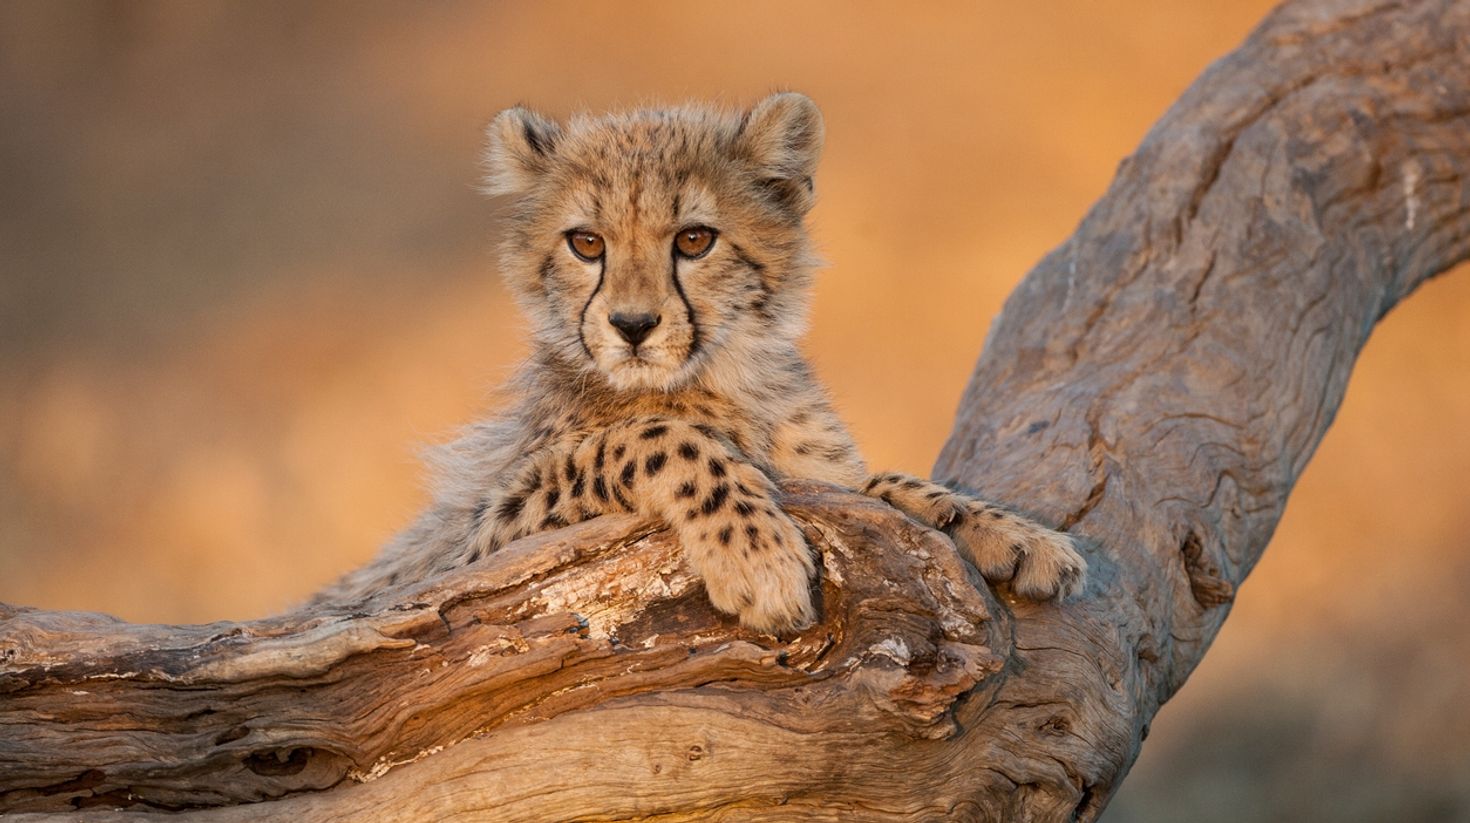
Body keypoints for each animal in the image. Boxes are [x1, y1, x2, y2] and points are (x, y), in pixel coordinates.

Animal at [316, 92, 1086, 632]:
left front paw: (1009, 531)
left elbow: (877, 484)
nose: (632, 325)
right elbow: (656, 437)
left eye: (694, 239)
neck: (720, 380)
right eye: (586, 243)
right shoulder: (481, 550)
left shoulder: (828, 481)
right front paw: (756, 556)